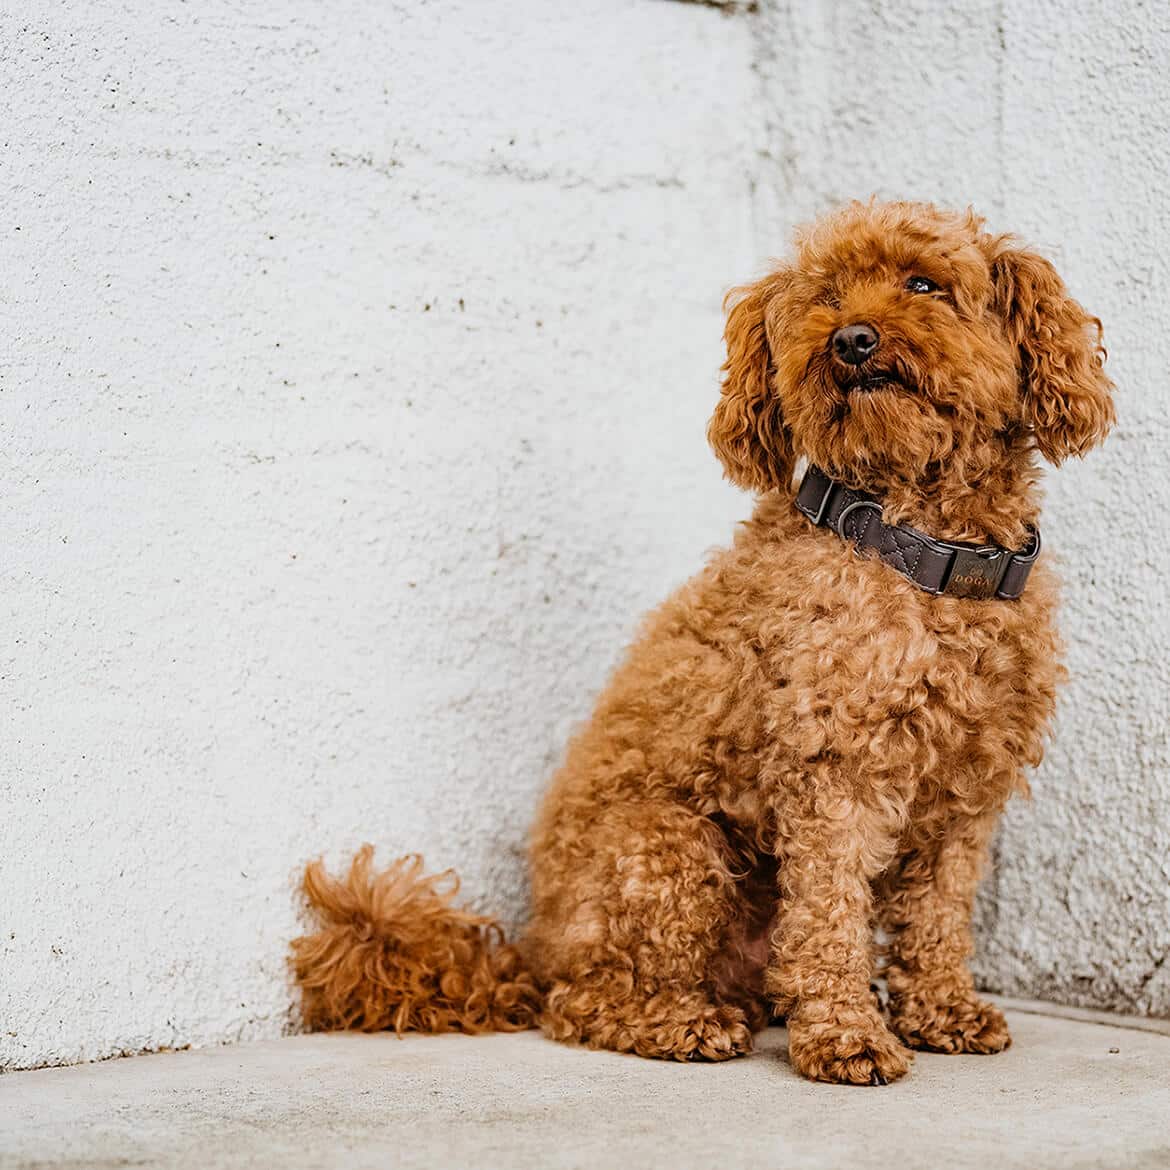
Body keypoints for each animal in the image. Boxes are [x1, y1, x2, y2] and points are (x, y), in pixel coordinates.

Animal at [290, 196, 1113, 1081]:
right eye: (824, 297)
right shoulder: (832, 772)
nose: (852, 339)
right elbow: (829, 915)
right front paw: (847, 1035)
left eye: (924, 284)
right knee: (581, 1003)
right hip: (669, 847)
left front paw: (943, 1012)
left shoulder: (963, 795)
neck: (918, 549)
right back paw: (684, 1023)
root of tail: (532, 950)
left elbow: (937, 916)